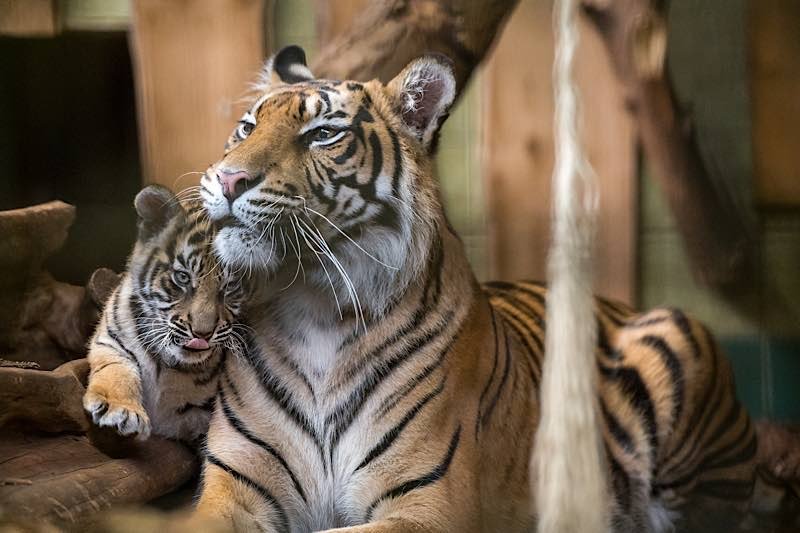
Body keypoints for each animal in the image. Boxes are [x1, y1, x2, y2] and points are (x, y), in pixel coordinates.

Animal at [197, 46, 760, 532]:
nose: (228, 180)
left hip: (676, 338)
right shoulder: (233, 488)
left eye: (323, 133)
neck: (312, 302)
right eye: (246, 127)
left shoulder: (428, 507)